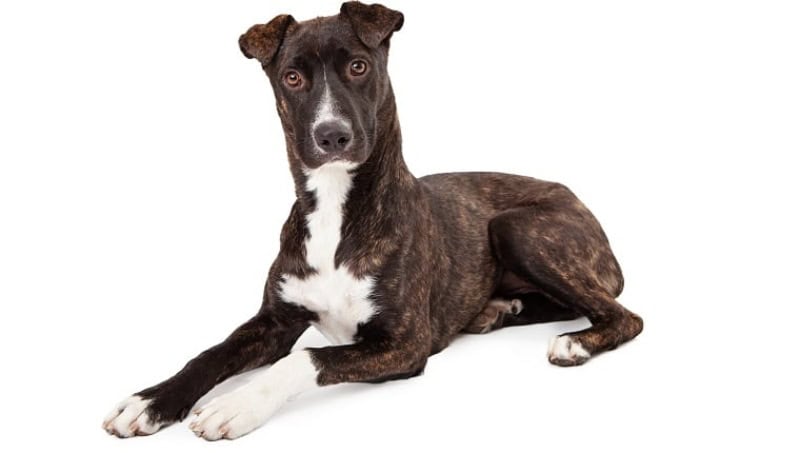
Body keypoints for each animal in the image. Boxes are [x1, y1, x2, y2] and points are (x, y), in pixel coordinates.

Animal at [103, 1, 648, 440]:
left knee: (622, 314)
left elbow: (305, 358)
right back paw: (496, 311)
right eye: (292, 77)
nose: (332, 136)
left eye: (358, 66)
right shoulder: (274, 320)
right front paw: (149, 402)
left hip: (517, 228)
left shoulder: (402, 346)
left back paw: (573, 343)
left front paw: (237, 404)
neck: (336, 208)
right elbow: (211, 353)